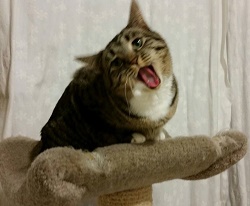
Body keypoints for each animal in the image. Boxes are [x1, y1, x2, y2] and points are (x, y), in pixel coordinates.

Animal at [40, 0, 178, 152]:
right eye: (117, 62)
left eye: (137, 42)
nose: (133, 60)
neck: (152, 96)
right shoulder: (87, 107)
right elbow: (108, 132)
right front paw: (137, 136)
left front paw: (159, 133)